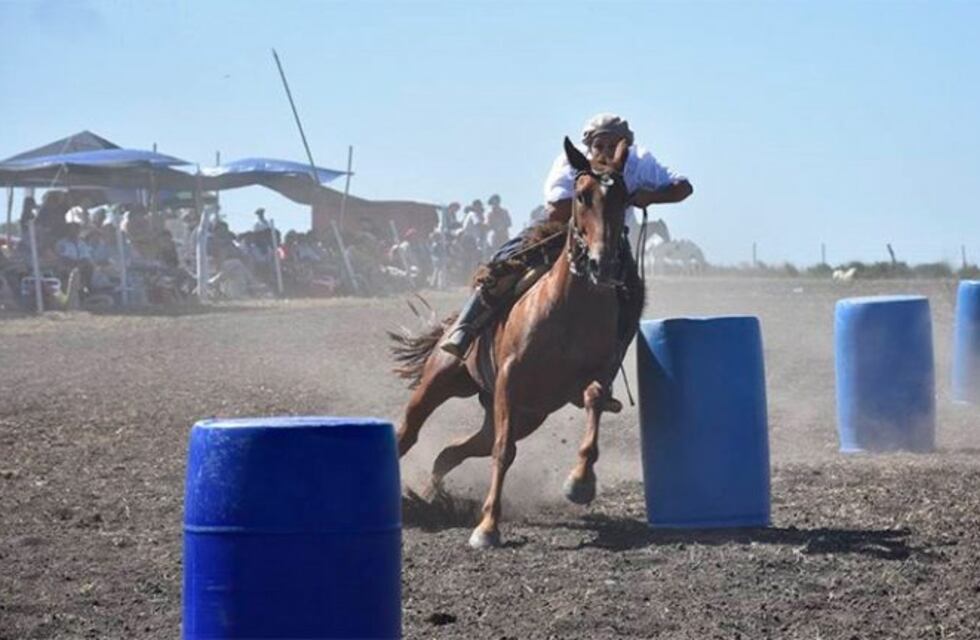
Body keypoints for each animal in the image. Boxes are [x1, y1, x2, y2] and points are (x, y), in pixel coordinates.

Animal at [389, 137, 644, 548]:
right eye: (582, 196)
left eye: (625, 197)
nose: (602, 264)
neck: (569, 309)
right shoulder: (510, 379)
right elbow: (504, 451)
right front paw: (487, 528)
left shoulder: (595, 376)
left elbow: (592, 400)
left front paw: (580, 483)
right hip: (440, 382)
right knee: (409, 434)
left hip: (524, 414)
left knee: (453, 452)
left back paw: (434, 497)